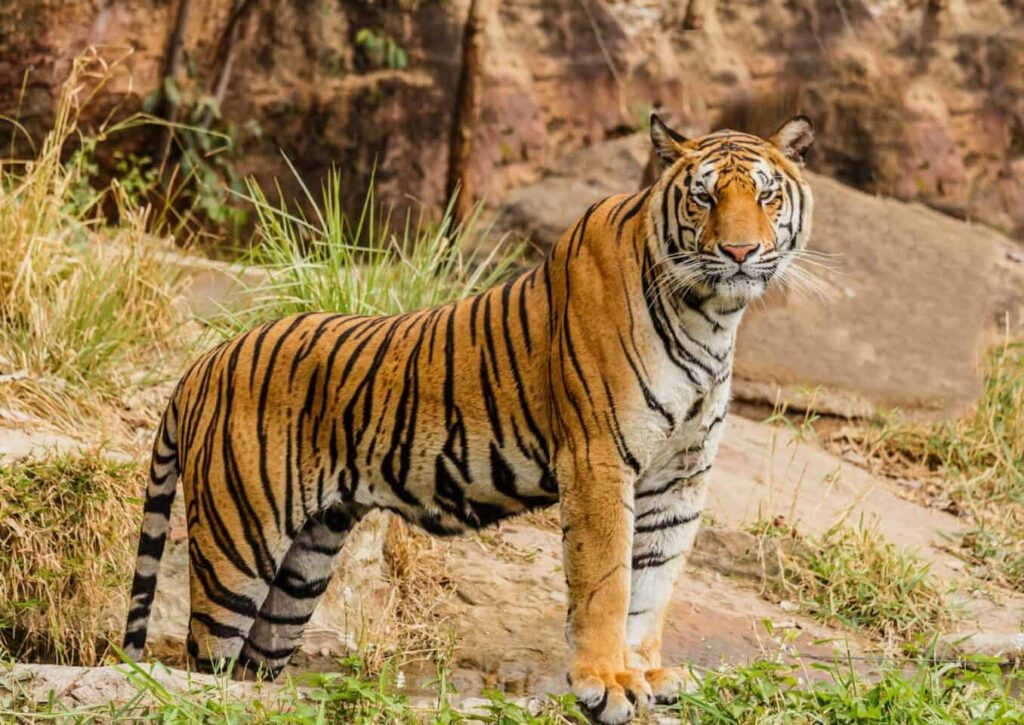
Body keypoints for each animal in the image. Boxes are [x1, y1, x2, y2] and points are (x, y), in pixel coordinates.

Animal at [123, 113, 814, 724]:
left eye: (766, 194)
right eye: (703, 197)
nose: (740, 251)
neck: (712, 316)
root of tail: (203, 362)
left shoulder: (680, 475)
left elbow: (654, 584)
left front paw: (643, 673)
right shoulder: (598, 458)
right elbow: (608, 581)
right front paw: (607, 684)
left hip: (303, 566)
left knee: (252, 667)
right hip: (236, 545)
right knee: (203, 661)